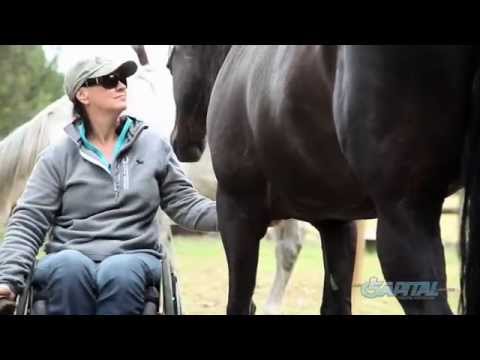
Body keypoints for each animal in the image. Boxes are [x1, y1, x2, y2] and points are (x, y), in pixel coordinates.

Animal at [167, 45, 478, 316]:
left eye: (170, 63)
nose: (179, 142)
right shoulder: (335, 222)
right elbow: (335, 304)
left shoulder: (237, 212)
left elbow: (239, 303)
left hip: (403, 218)